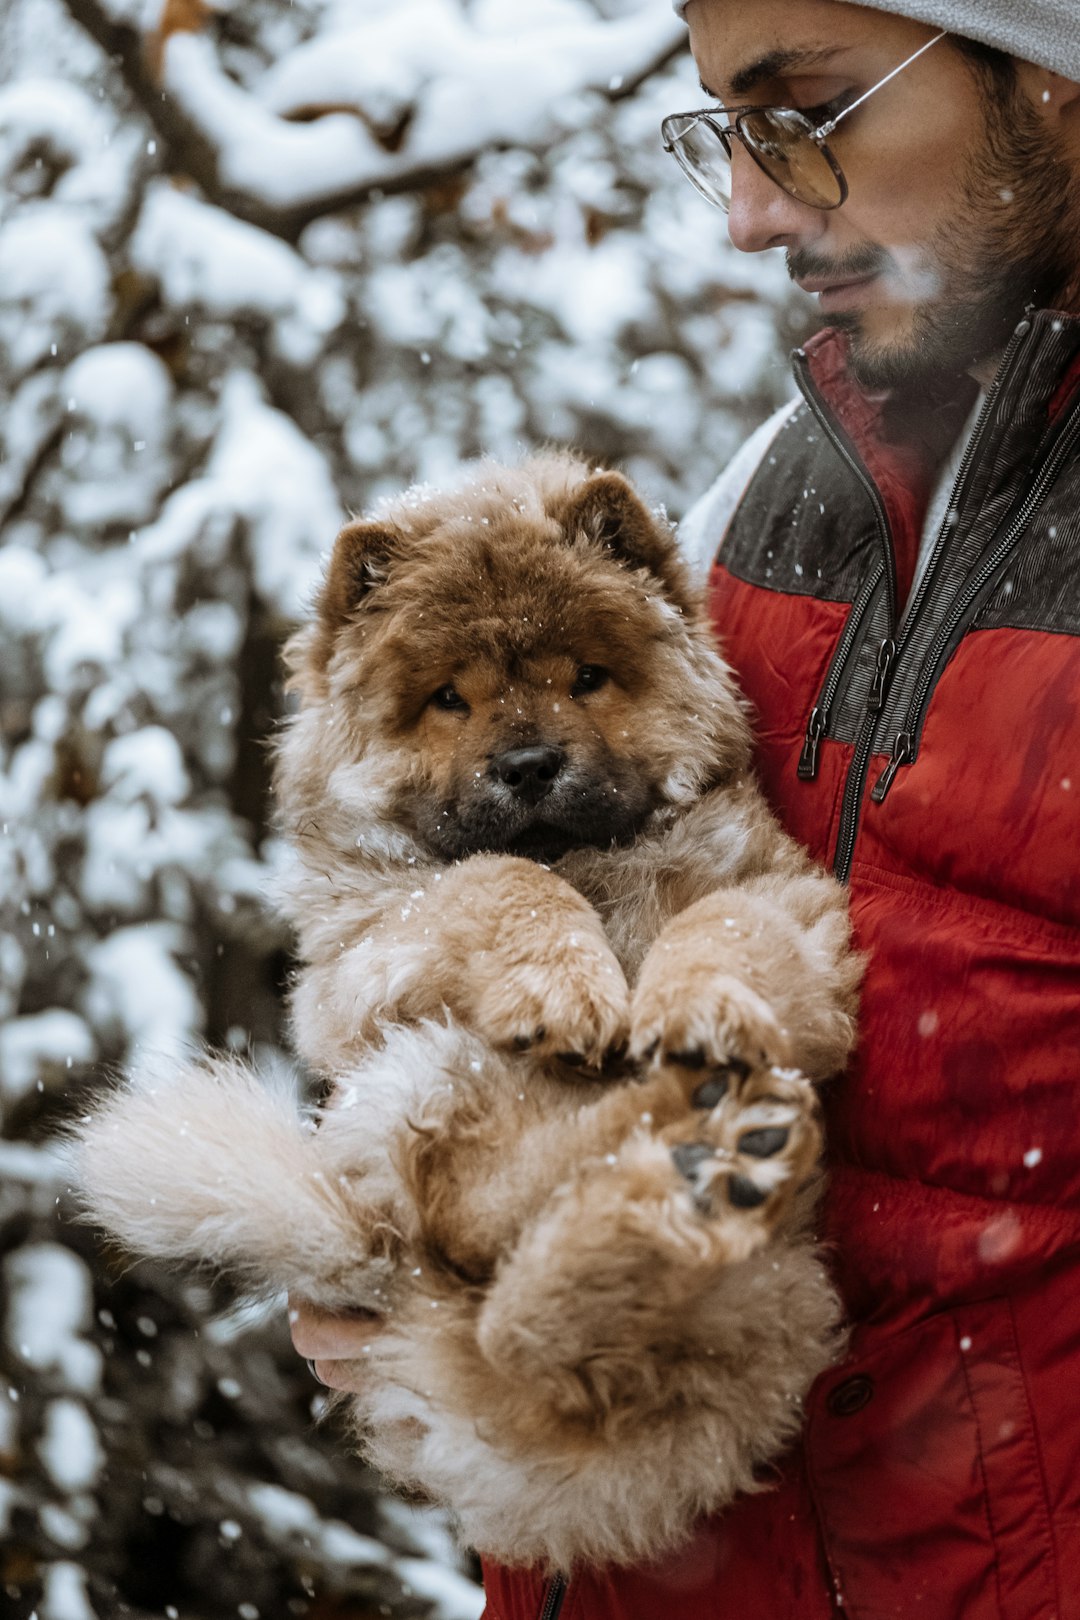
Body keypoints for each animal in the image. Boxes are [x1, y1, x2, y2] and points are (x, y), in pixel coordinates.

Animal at [71, 450, 854, 1574]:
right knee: (485, 1259)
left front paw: (695, 1006)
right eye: (449, 699)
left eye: (585, 677)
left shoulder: (788, 900)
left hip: (770, 1294)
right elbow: (493, 879)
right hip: (417, 1073)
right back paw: (688, 1153)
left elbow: (723, 927)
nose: (527, 765)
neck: (592, 865)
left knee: (528, 1326)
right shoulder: (359, 956)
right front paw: (570, 986)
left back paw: (697, 1145)